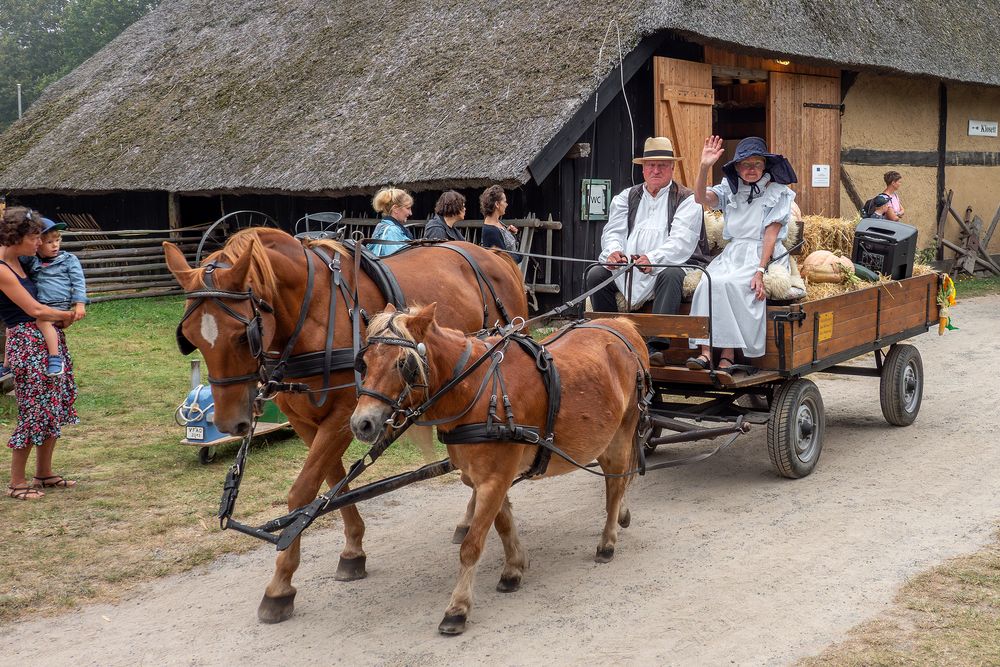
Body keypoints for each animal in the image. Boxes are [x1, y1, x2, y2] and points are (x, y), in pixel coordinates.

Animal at [161, 230, 528, 628]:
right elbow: (333, 480)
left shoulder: (343, 416)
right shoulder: (307, 421)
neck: (313, 309)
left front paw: (280, 585)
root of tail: (492, 253)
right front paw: (352, 549)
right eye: (191, 337)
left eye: (244, 336)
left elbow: (302, 492)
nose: (230, 422)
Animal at [350, 306, 648, 636]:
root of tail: (622, 326)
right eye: (364, 362)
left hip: (622, 431)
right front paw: (513, 568)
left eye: (403, 364)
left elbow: (471, 546)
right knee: (618, 479)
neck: (477, 389)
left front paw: (458, 608)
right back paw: (621, 515)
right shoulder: (487, 479)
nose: (362, 424)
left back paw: (608, 540)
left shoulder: (494, 479)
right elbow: (504, 525)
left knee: (615, 483)